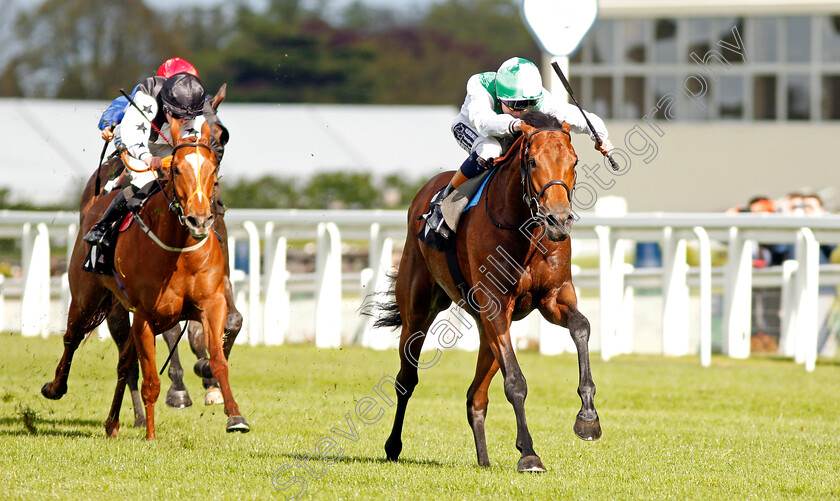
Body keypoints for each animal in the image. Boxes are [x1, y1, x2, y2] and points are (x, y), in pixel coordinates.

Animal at [41, 117, 248, 438]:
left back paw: (112, 422)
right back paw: (56, 388)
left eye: (213, 167)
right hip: (88, 298)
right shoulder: (147, 315)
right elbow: (152, 377)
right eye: (177, 169)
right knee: (72, 337)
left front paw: (234, 414)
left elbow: (219, 355)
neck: (180, 251)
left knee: (124, 362)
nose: (200, 219)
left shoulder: (211, 302)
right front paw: (152, 432)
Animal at [370, 110, 600, 472]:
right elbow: (515, 382)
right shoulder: (495, 304)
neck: (524, 230)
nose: (559, 220)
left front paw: (588, 417)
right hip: (419, 310)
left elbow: (581, 326)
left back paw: (483, 459)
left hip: (485, 328)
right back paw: (393, 446)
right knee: (406, 380)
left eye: (574, 161)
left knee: (475, 396)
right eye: (532, 161)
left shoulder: (553, 297)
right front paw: (529, 453)